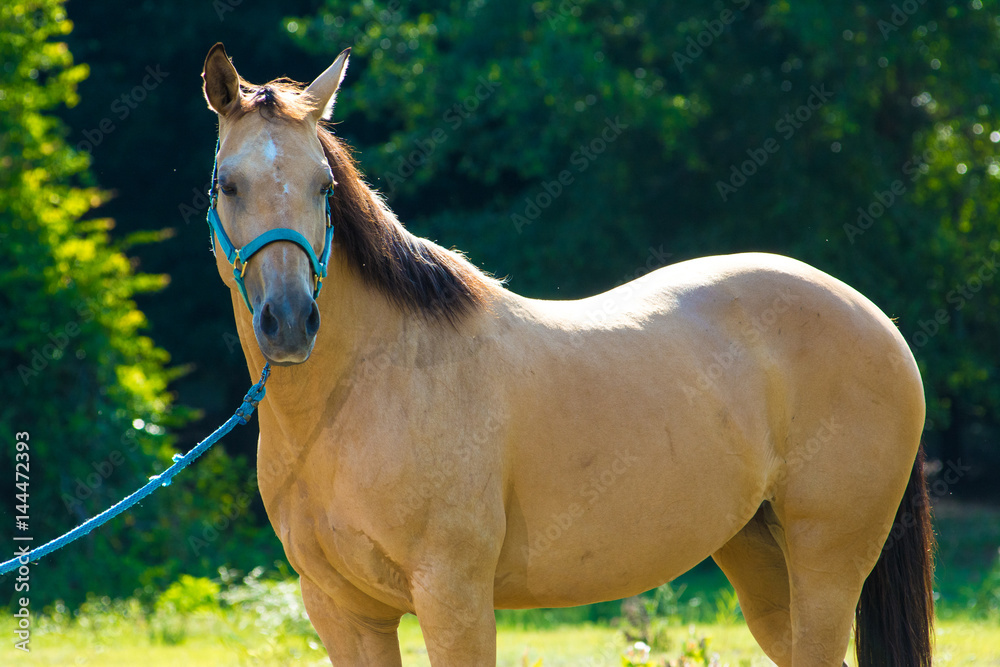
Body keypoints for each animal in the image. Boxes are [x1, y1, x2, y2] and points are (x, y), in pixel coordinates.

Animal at [200, 43, 934, 666]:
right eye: (227, 185)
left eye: (324, 184)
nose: (290, 322)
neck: (358, 396)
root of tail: (880, 322)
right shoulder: (343, 611)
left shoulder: (454, 596)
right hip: (758, 554)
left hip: (827, 562)